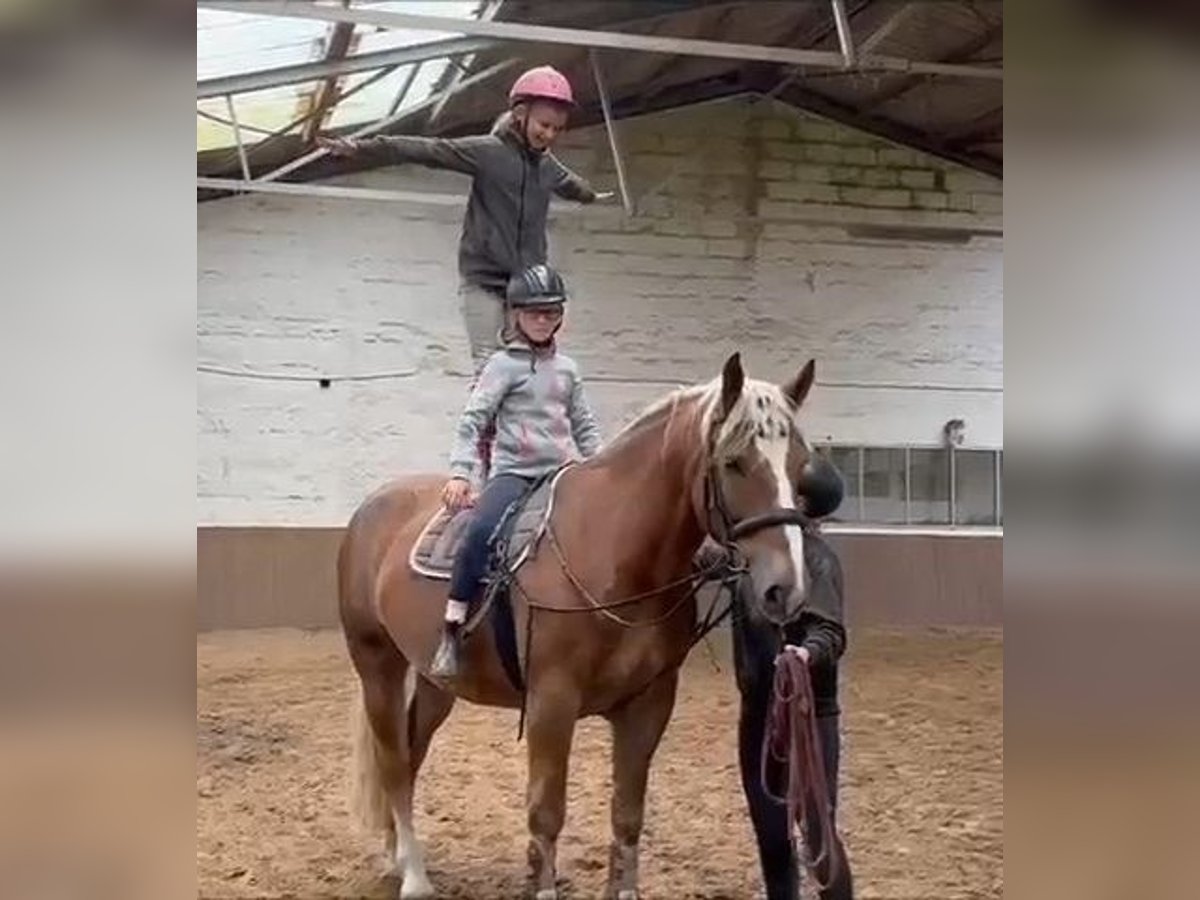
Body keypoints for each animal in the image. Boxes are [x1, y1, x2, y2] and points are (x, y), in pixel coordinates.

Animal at [338, 348, 835, 897]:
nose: (786, 588)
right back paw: (414, 876)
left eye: (799, 465)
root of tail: (373, 507)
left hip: (433, 683)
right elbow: (546, 816)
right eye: (733, 462)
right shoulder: (551, 704)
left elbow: (627, 816)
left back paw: (396, 856)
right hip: (377, 666)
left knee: (410, 754)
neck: (613, 550)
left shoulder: (648, 705)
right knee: (392, 762)